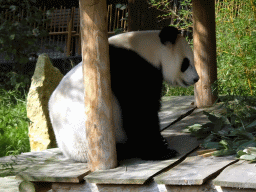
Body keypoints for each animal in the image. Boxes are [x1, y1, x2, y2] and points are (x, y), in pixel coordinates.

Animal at [48, 26, 200, 162]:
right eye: (186, 63)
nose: (196, 79)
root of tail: (72, 155)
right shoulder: (129, 68)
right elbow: (139, 110)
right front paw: (161, 152)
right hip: (90, 140)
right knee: (123, 148)